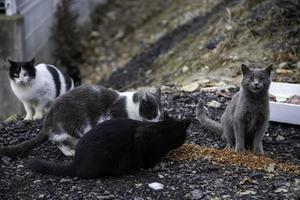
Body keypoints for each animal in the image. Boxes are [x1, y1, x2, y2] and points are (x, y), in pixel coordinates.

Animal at [0, 84, 162, 156]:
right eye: (153, 114)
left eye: (160, 115)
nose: (157, 122)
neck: (131, 107)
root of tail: (48, 119)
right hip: (70, 127)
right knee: (57, 140)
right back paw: (70, 151)